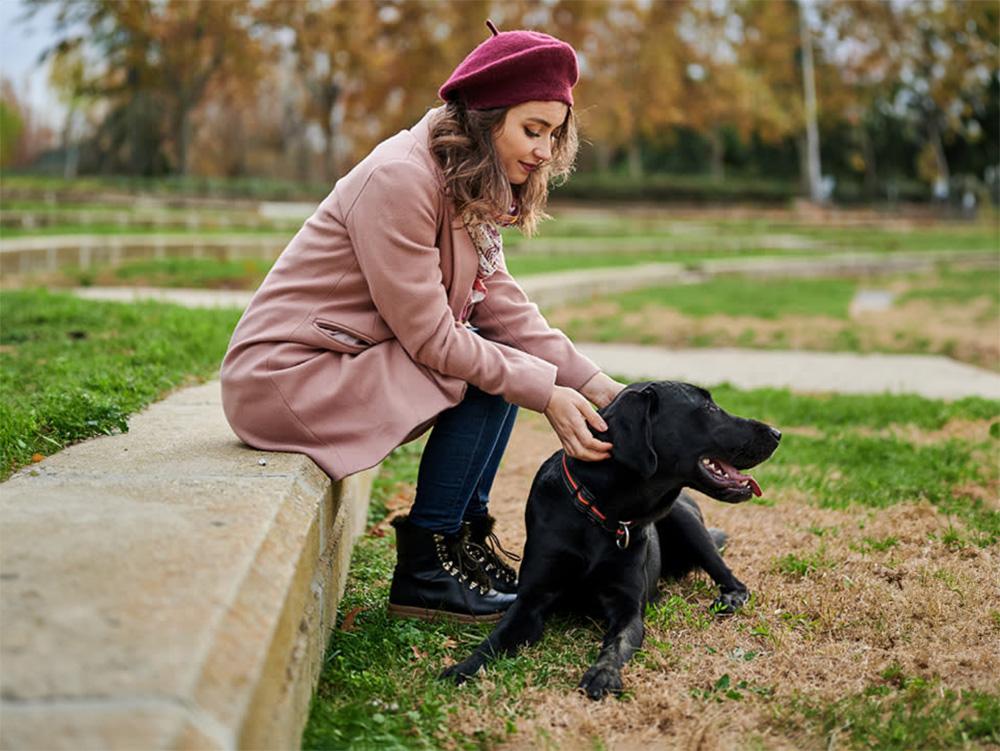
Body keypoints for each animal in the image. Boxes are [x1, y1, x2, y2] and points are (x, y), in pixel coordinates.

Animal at [444, 382, 780, 700]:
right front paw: (464, 667)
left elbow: (616, 645)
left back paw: (730, 598)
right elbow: (495, 639)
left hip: (685, 521)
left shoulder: (627, 608)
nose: (777, 433)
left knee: (731, 578)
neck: (600, 511)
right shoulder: (531, 600)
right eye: (709, 407)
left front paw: (602, 674)